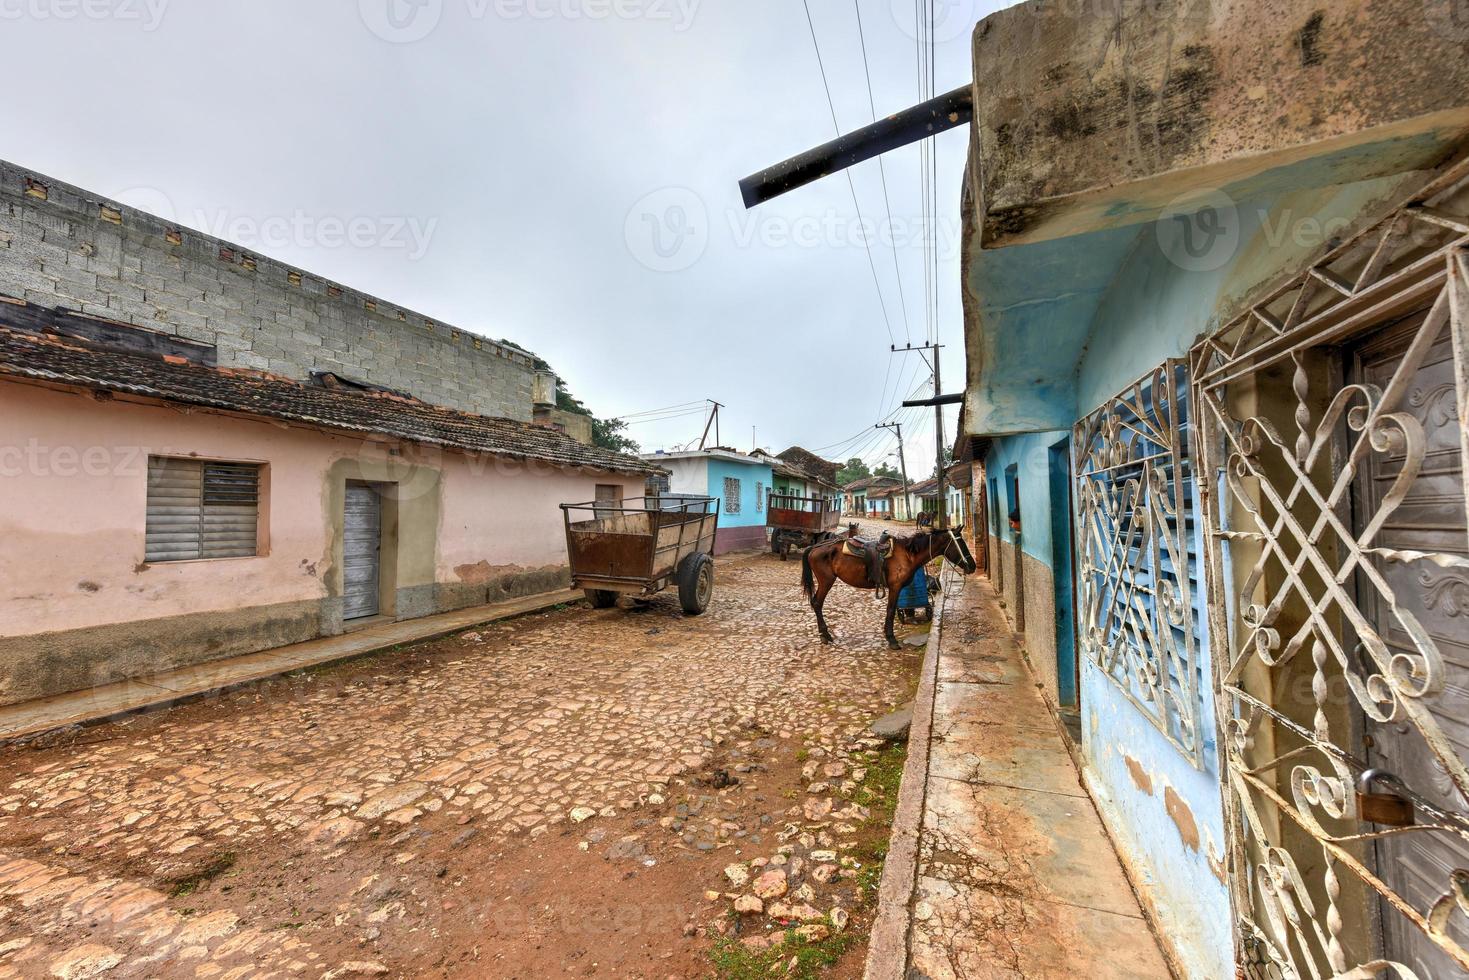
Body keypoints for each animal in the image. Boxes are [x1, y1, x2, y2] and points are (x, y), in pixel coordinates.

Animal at [805, 525, 975, 655]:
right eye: (960, 543)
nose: (972, 566)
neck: (908, 554)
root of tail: (814, 547)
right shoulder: (895, 587)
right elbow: (891, 610)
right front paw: (892, 639)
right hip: (826, 581)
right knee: (817, 603)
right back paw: (825, 635)